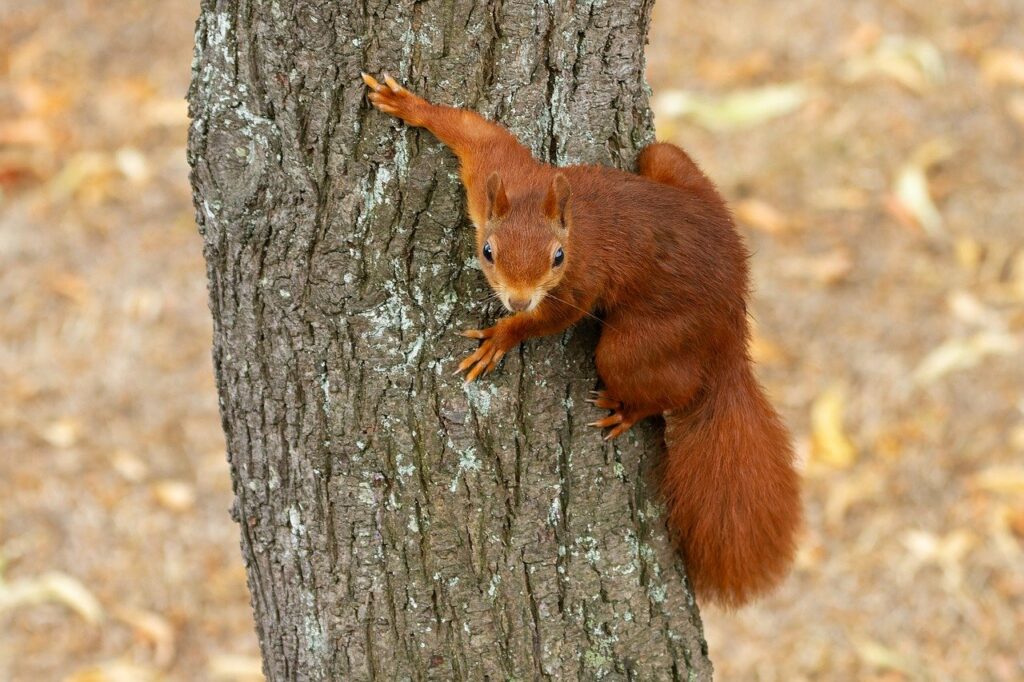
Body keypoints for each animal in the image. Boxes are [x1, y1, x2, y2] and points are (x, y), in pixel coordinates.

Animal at [364, 73, 802, 606]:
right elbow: (476, 131)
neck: (564, 224)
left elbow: (554, 319)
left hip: (639, 343)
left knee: (667, 386)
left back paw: (629, 409)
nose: (517, 301)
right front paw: (408, 105)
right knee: (663, 155)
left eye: (557, 257)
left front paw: (502, 337)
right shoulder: (499, 170)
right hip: (667, 162)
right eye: (487, 251)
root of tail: (732, 323)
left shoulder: (580, 280)